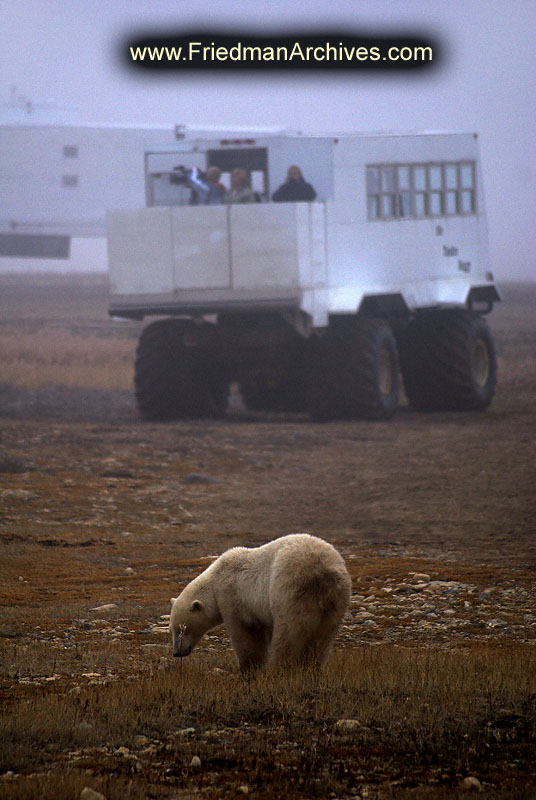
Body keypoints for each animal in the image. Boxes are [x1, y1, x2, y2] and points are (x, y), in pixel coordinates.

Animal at [169, 536, 352, 672]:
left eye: (181, 629)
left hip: (289, 591)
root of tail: (321, 570)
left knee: (288, 633)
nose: (177, 653)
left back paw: (279, 668)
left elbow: (247, 634)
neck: (215, 580)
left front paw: (249, 668)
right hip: (337, 598)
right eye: (172, 629)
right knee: (323, 636)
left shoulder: (232, 596)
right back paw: (312, 667)